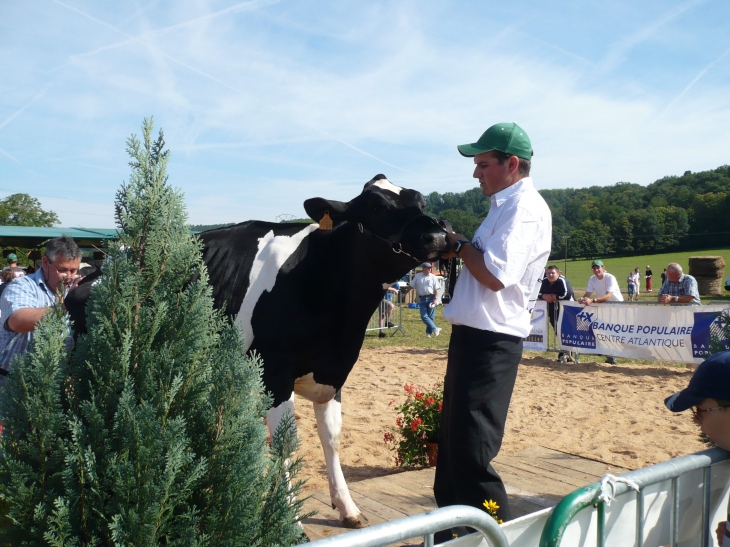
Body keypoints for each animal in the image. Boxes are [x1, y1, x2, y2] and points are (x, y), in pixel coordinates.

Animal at [65, 174, 446, 528]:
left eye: (420, 201)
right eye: (378, 206)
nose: (439, 235)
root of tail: (96, 271)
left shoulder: (333, 375)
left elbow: (332, 438)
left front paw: (347, 507)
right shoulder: (275, 374)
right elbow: (285, 443)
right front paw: (289, 518)